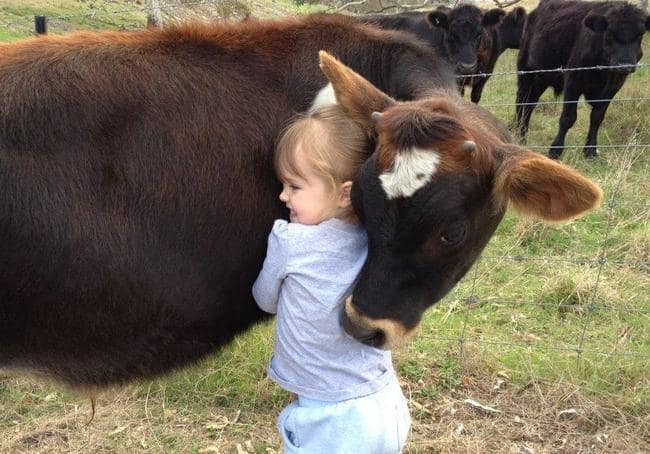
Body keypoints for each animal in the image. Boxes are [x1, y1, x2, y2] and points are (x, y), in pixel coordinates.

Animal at [515, 0, 649, 159]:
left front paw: (590, 150)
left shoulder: (612, 88)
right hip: (527, 73)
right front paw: (556, 149)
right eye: (609, 34)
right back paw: (521, 137)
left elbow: (597, 118)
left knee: (530, 104)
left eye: (640, 35)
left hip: (540, 79)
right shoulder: (573, 82)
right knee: (523, 103)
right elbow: (568, 118)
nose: (625, 65)